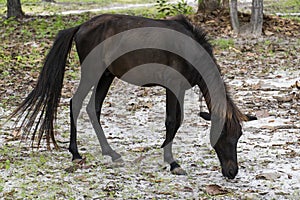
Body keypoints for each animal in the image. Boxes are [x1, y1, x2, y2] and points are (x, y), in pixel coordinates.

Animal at [10, 14, 252, 180]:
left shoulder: (179, 89)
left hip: (106, 76)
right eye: (223, 135)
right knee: (76, 103)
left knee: (93, 108)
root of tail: (82, 26)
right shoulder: (172, 87)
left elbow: (177, 122)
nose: (232, 172)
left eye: (239, 135)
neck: (189, 49)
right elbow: (172, 121)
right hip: (92, 73)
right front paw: (172, 162)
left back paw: (110, 152)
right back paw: (76, 153)